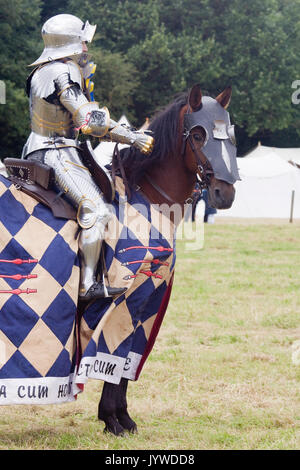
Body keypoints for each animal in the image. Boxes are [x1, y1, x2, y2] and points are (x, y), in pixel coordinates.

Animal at [0, 83, 239, 436]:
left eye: (231, 134)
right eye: (198, 135)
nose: (225, 193)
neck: (148, 198)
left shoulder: (152, 295)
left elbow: (127, 362)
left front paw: (121, 416)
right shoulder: (132, 292)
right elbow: (116, 354)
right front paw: (113, 419)